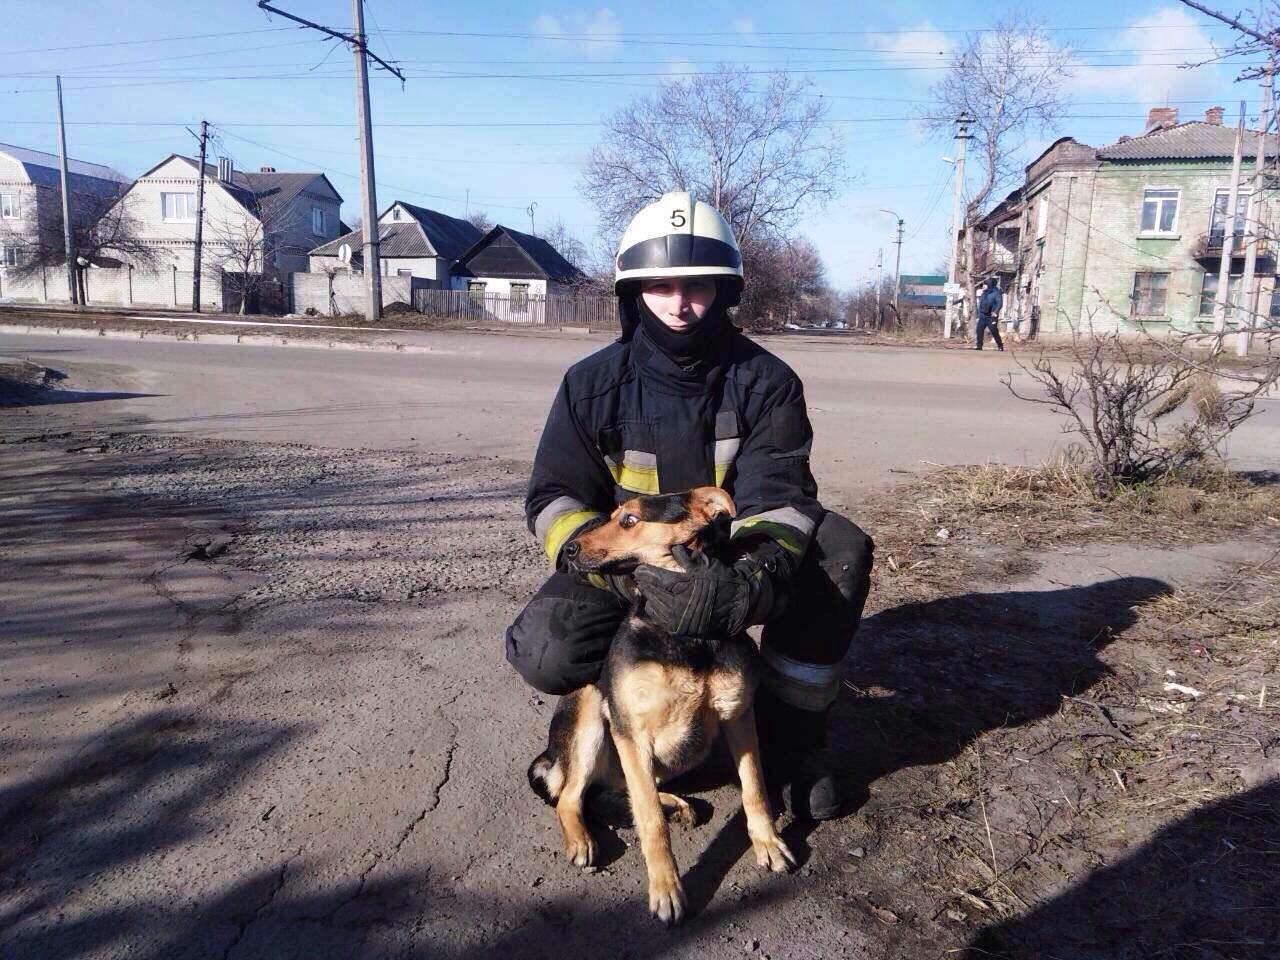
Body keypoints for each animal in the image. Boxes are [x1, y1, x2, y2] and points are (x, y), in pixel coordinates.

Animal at [527, 488, 788, 926]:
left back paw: (676, 804)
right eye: (612, 516)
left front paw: (767, 841)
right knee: (573, 797)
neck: (686, 637)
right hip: (592, 714)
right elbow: (649, 821)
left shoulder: (738, 715)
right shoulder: (630, 732)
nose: (571, 549)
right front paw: (666, 888)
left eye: (630, 520)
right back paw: (582, 839)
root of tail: (552, 753)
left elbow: (755, 788)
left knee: (614, 791)